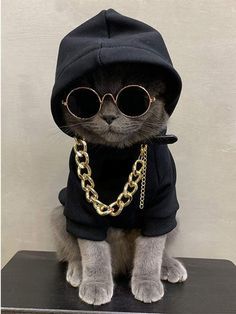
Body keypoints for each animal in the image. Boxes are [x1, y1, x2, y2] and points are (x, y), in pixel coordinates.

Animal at [50, 62, 187, 306]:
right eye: (85, 100)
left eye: (133, 99)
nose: (109, 116)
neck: (118, 156)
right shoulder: (82, 207)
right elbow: (93, 250)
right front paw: (95, 286)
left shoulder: (162, 207)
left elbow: (151, 249)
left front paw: (147, 284)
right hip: (60, 214)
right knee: (72, 252)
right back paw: (78, 271)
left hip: (174, 219)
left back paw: (169, 266)